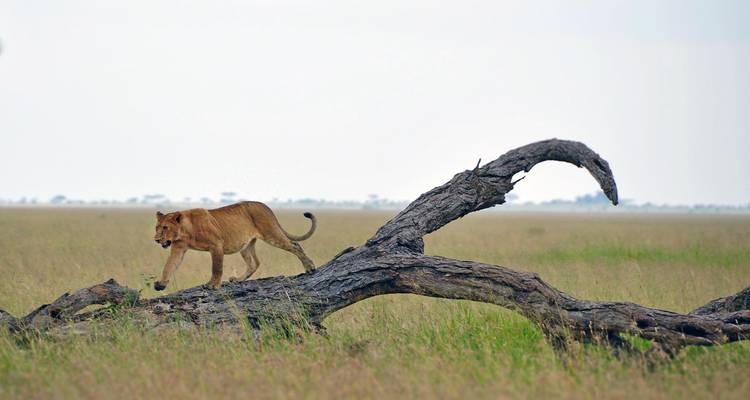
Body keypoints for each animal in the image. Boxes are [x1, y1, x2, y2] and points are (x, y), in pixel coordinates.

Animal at [152, 201, 316, 291]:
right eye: (157, 227)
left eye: (165, 227)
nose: (156, 239)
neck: (185, 231)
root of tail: (264, 205)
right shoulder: (178, 249)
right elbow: (169, 266)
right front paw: (161, 284)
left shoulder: (216, 245)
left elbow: (217, 268)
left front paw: (212, 285)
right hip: (246, 245)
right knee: (254, 263)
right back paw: (238, 279)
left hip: (271, 233)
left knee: (295, 245)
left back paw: (310, 267)